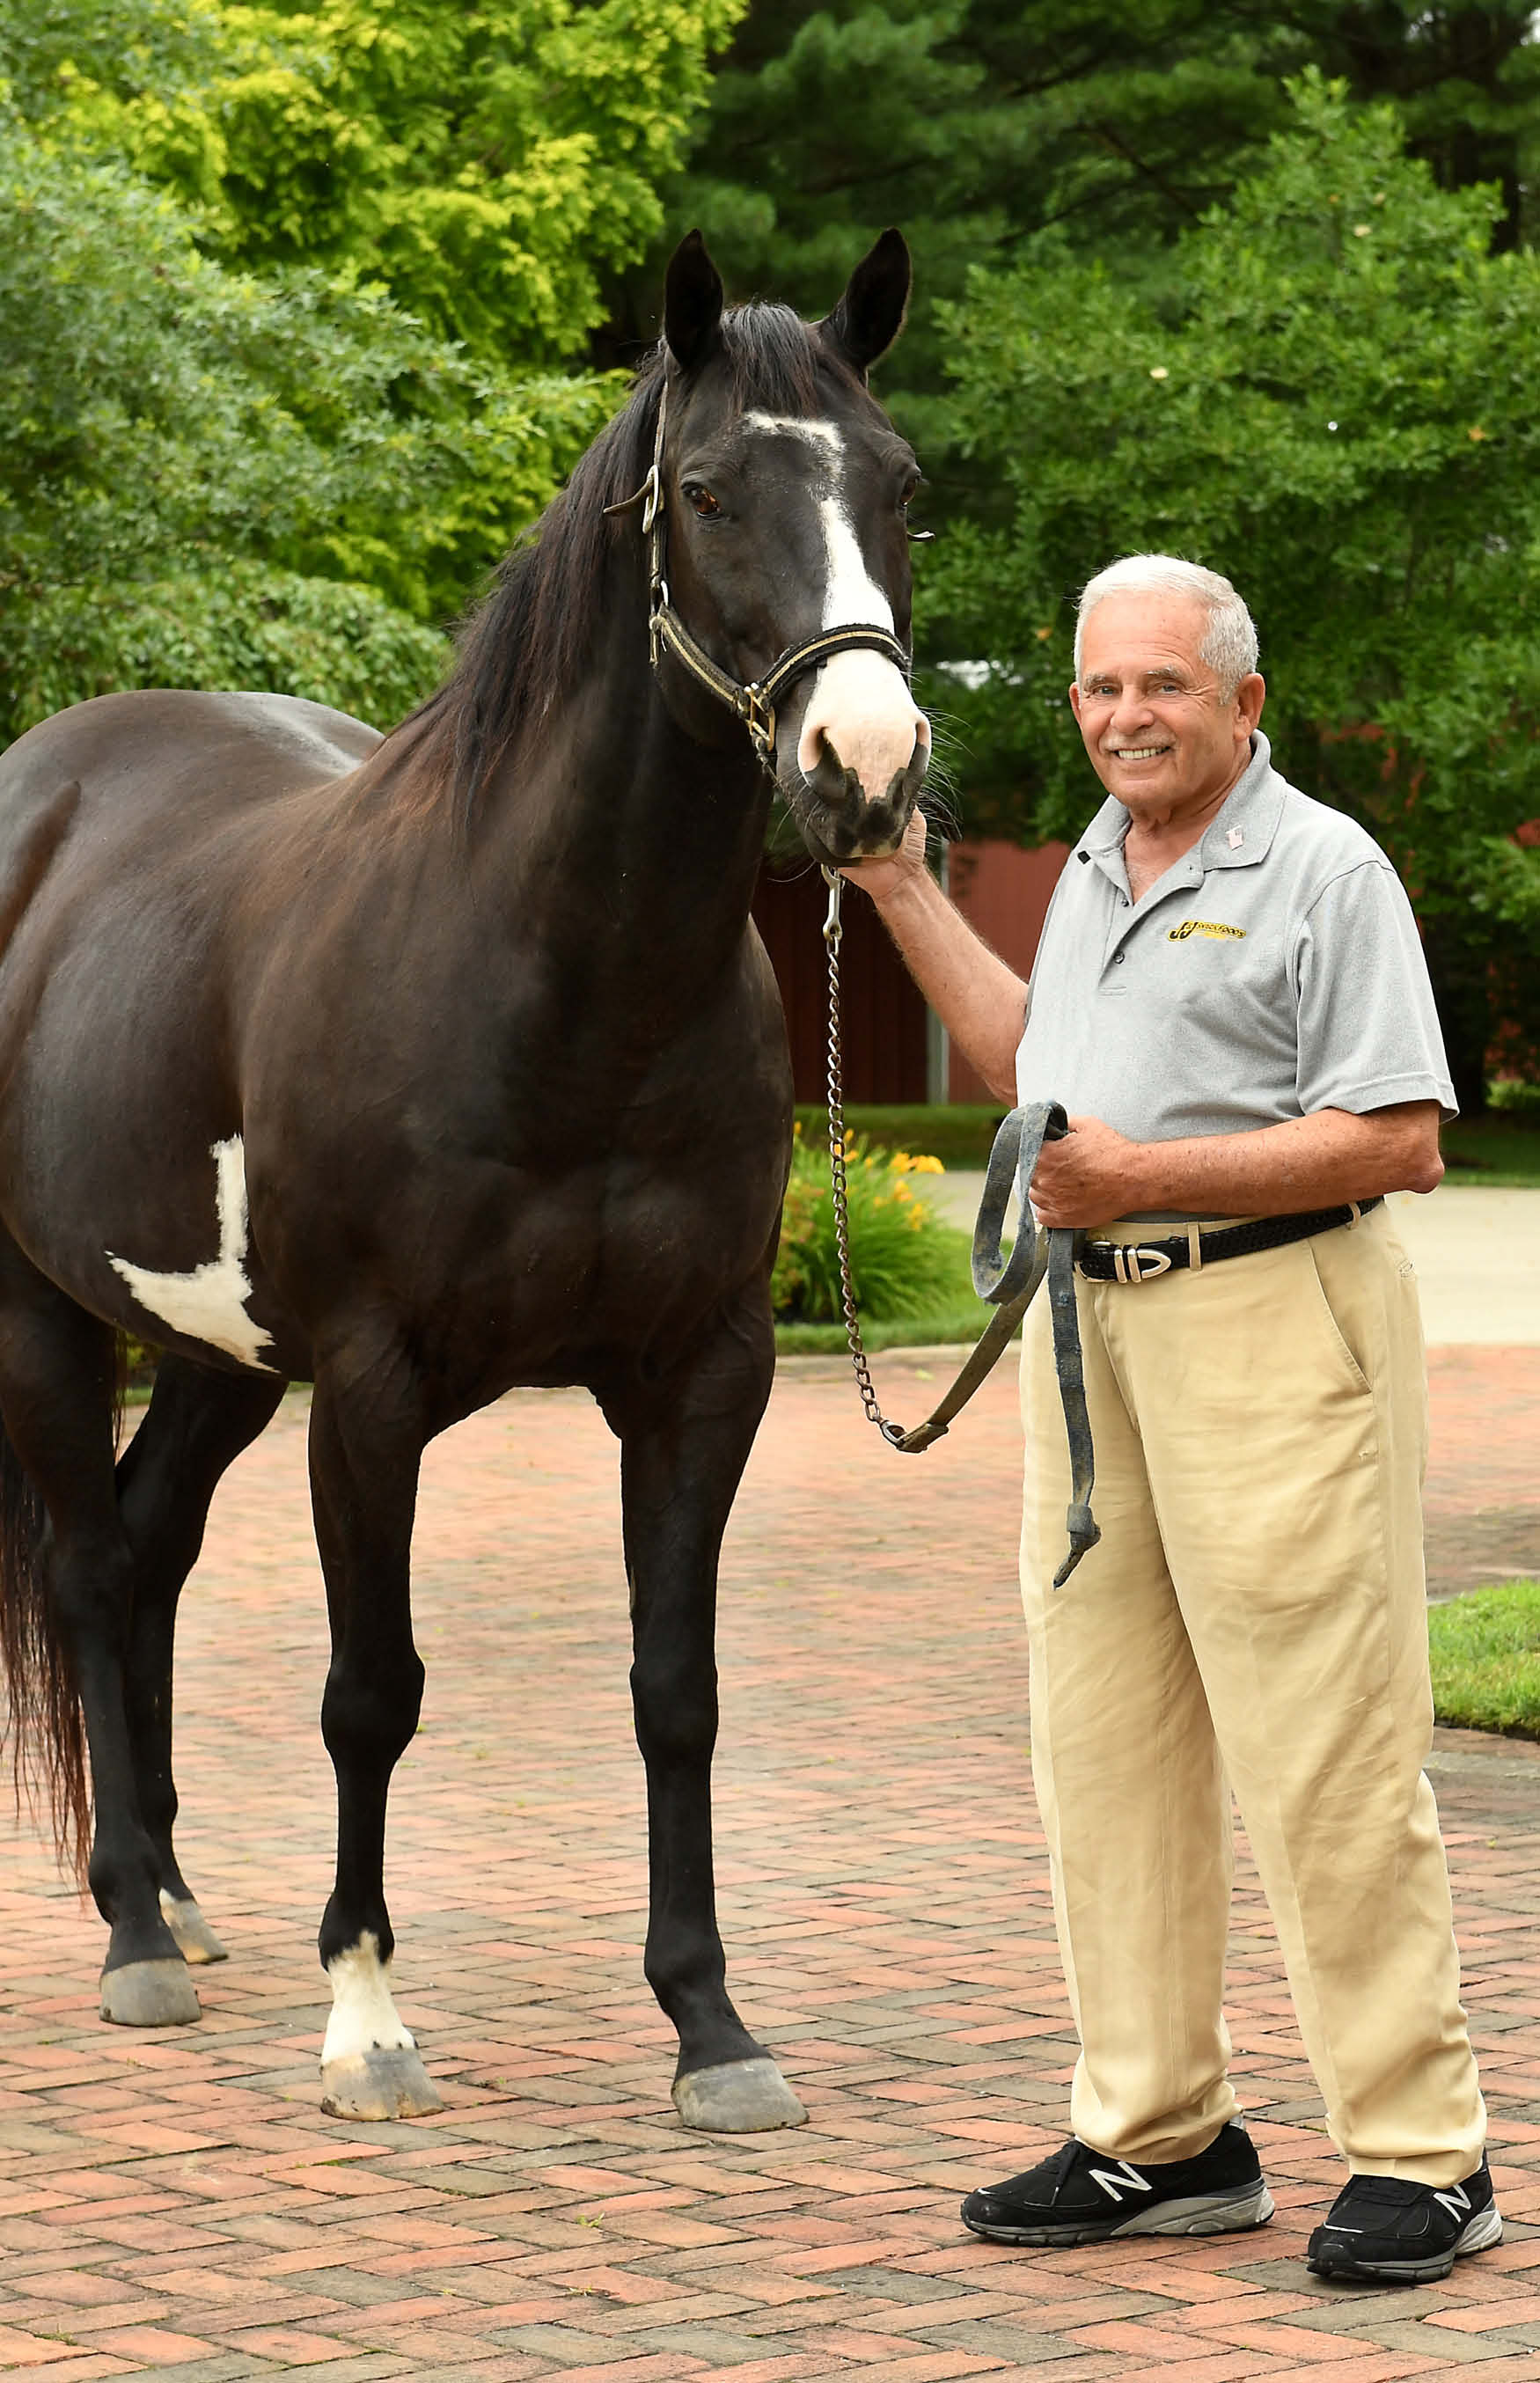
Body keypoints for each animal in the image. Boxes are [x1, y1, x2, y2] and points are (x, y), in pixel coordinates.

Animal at [0, 230, 930, 2131]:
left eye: (902, 487)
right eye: (707, 491)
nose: (864, 775)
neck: (556, 980)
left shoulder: (701, 1376)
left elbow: (675, 1687)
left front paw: (710, 2024)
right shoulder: (370, 1388)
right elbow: (373, 1691)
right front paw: (364, 2019)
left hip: (215, 1356)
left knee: (149, 1547)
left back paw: (181, 1899)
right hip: (44, 1314)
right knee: (90, 1567)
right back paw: (131, 1931)